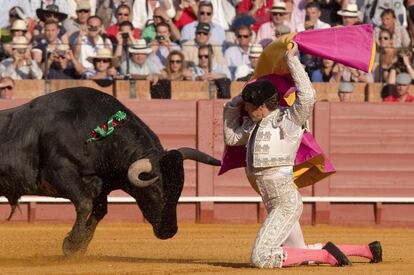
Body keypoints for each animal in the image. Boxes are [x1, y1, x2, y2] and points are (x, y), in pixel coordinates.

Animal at [0, 88, 222, 256]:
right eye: (155, 191)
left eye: (179, 191)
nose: (169, 231)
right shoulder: (58, 172)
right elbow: (84, 204)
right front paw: (72, 244)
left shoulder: (100, 186)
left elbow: (100, 210)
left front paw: (78, 246)